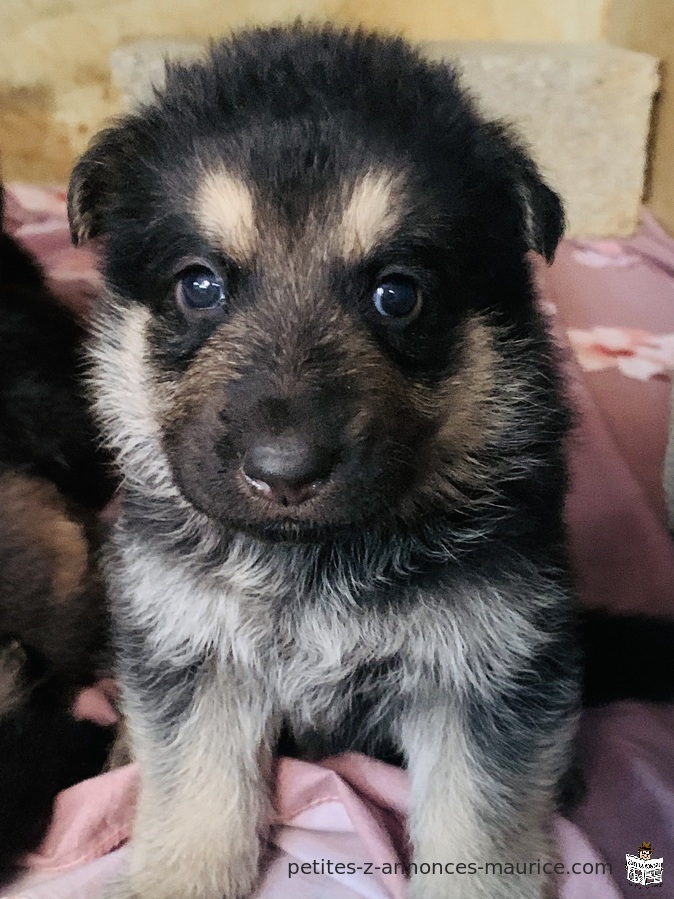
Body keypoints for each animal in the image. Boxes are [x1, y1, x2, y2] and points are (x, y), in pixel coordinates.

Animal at [67, 26, 572, 899]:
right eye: (199, 285)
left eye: (398, 294)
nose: (285, 472)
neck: (312, 563)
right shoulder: (194, 652)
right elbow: (196, 801)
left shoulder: (489, 675)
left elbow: (477, 837)